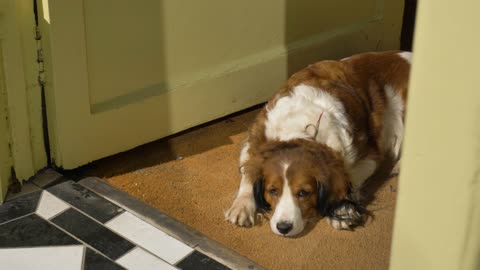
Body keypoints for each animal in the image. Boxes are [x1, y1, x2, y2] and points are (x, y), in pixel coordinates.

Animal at [224, 50, 408, 236]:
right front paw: (243, 205)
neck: (300, 128)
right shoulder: (254, 139)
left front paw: (342, 209)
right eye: (273, 191)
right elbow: (248, 171)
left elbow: (349, 178)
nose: (283, 227)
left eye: (303, 193)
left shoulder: (370, 155)